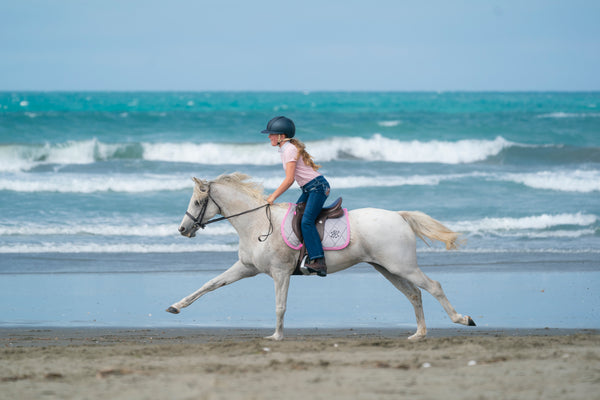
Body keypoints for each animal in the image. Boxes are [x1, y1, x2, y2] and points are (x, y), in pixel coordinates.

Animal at [166, 173, 476, 340]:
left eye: (198, 201)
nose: (182, 229)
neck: (256, 224)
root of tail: (399, 216)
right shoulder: (245, 268)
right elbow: (209, 284)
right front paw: (176, 307)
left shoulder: (280, 273)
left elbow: (280, 306)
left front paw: (276, 336)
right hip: (387, 268)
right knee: (414, 294)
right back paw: (419, 333)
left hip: (402, 266)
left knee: (433, 286)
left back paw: (463, 319)